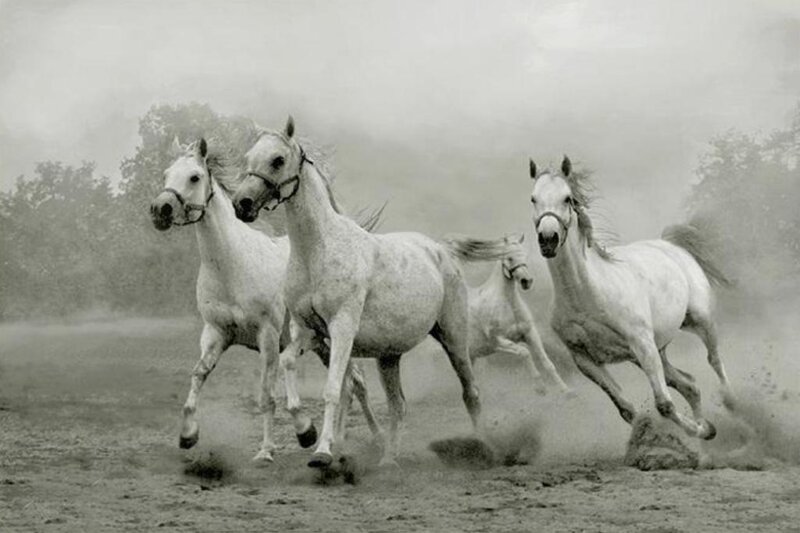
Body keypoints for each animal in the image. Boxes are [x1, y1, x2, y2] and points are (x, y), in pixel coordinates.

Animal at [149, 136, 383, 463]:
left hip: (333, 339)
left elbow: (267, 395)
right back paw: (340, 441)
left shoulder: (268, 337)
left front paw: (290, 439)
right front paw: (188, 435)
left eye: (194, 177)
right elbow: (198, 375)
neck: (232, 266)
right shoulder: (215, 334)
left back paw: (368, 439)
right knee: (351, 382)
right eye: (166, 175)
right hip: (324, 345)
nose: (160, 209)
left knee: (356, 383)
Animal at [231, 117, 483, 468]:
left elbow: (334, 390)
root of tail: (441, 250)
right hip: (389, 357)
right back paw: (388, 459)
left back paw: (483, 447)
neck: (317, 251)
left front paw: (322, 452)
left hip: (454, 338)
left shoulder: (341, 329)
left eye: (277, 160)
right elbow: (288, 362)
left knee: (470, 393)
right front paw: (305, 431)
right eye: (248, 157)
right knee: (398, 405)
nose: (241, 204)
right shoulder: (307, 331)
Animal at [443, 233, 571, 394]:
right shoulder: (499, 341)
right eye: (510, 258)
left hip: (472, 355)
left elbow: (547, 362)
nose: (526, 281)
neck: (508, 305)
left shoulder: (530, 333)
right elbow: (525, 352)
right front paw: (540, 387)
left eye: (524, 255)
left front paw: (566, 391)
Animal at [527, 155, 732, 439]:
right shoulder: (584, 359)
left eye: (567, 198)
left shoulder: (642, 344)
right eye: (533, 198)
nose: (548, 239)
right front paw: (686, 433)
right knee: (689, 384)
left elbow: (664, 405)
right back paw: (708, 427)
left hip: (698, 321)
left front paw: (695, 430)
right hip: (657, 351)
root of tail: (671, 245)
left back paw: (731, 402)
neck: (585, 295)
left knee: (714, 360)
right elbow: (627, 409)